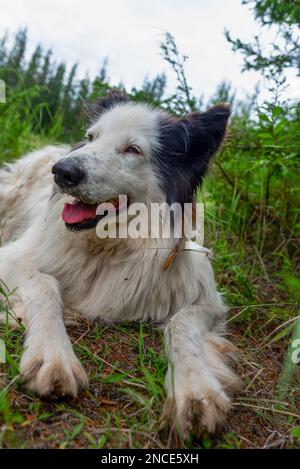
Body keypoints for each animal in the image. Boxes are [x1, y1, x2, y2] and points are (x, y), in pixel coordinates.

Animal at [0, 91, 239, 438]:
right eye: (91, 138)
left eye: (132, 149)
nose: (61, 172)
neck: (109, 245)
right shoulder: (12, 258)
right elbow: (46, 284)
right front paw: (53, 354)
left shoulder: (209, 303)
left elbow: (181, 323)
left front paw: (194, 388)